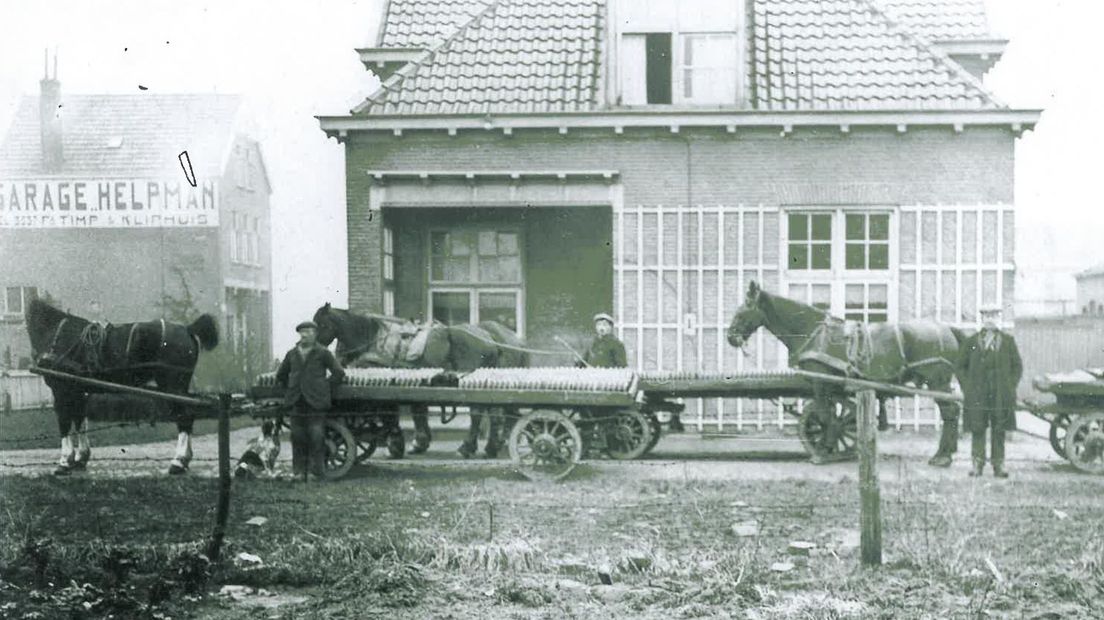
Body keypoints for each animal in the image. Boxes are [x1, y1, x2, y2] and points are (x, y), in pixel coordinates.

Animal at [25, 297, 219, 474]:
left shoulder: (62, 391)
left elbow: (64, 424)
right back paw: (184, 461)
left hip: (172, 385)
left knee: (184, 417)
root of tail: (188, 329)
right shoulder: (77, 391)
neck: (57, 331)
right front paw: (80, 459)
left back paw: (178, 462)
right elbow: (79, 421)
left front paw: (64, 462)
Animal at [313, 302, 532, 456]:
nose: (337, 355)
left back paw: (471, 446)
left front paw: (399, 442)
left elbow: (399, 412)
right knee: (494, 414)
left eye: (321, 325)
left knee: (480, 414)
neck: (377, 336)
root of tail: (491, 339)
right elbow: (419, 411)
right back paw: (491, 446)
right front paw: (419, 441)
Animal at [728, 280, 962, 463]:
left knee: (950, 412)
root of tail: (947, 329)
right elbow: (831, 415)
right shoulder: (830, 386)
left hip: (937, 381)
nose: (730, 337)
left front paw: (823, 450)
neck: (813, 332)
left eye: (742, 312)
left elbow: (825, 417)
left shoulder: (820, 383)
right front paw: (830, 445)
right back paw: (947, 452)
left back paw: (942, 457)